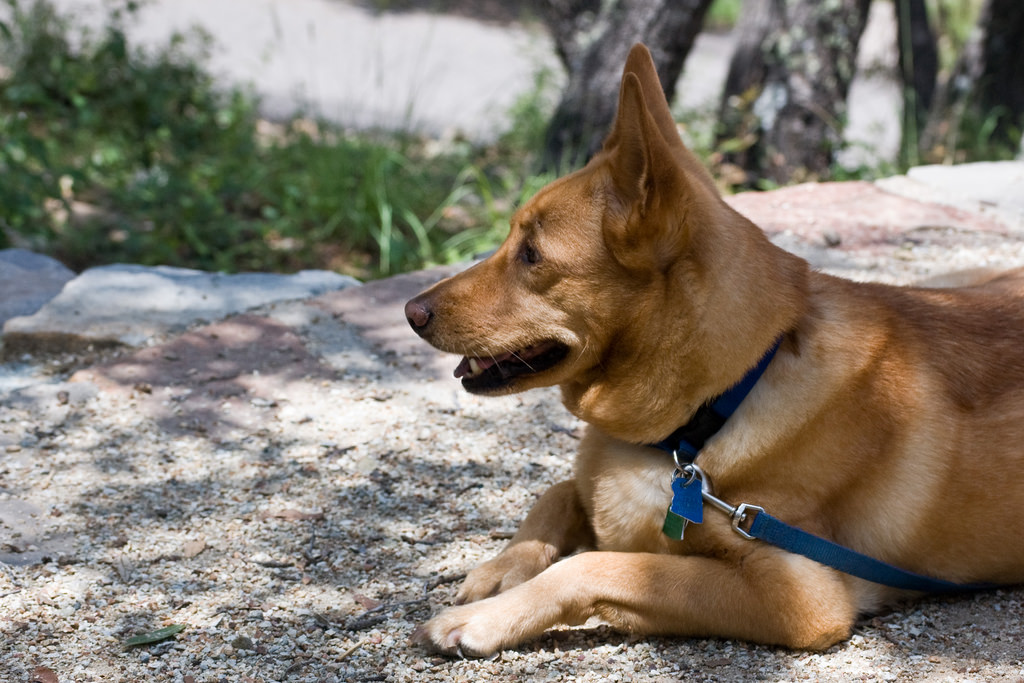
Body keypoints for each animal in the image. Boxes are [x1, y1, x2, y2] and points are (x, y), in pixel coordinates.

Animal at [401, 42, 1024, 655]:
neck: (713, 409)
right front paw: (501, 568)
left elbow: (601, 565)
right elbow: (554, 495)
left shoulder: (801, 595)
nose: (411, 312)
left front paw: (484, 618)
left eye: (531, 255)